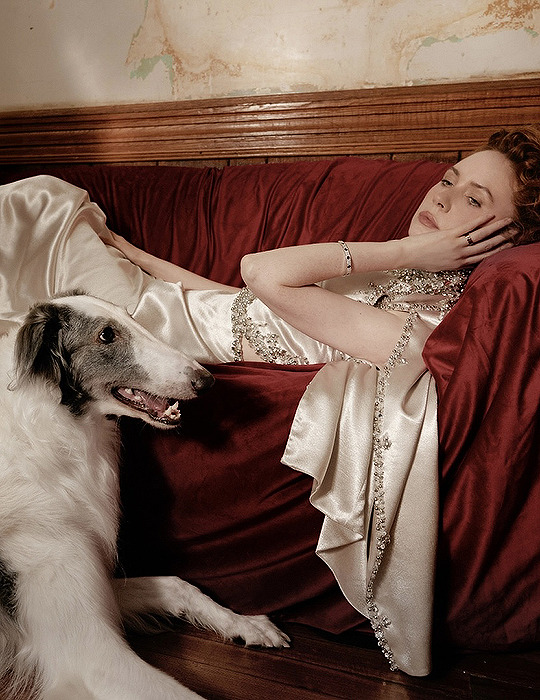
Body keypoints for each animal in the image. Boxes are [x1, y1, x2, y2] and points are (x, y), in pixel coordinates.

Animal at [0, 292, 289, 700]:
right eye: (106, 335)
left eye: (130, 315)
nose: (208, 381)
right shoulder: (90, 654)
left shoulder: (98, 585)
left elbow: (179, 584)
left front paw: (245, 623)